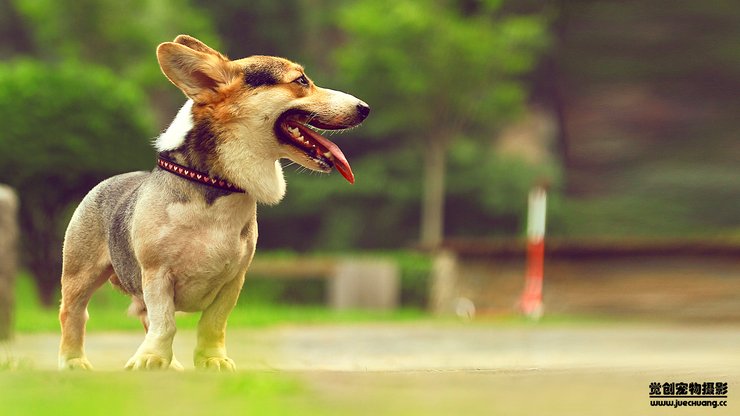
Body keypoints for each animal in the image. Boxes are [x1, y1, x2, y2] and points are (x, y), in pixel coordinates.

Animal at [58, 33, 370, 370]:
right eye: (300, 81)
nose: (365, 108)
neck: (218, 186)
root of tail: (108, 181)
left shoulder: (233, 281)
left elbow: (213, 323)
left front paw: (212, 360)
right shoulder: (157, 275)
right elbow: (165, 323)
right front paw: (150, 358)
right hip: (80, 275)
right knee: (74, 314)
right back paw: (74, 361)